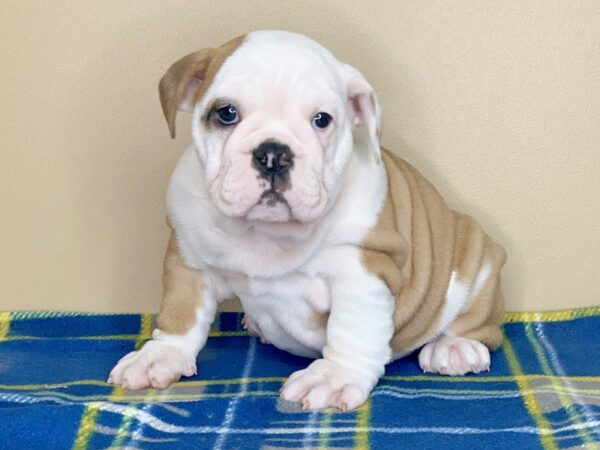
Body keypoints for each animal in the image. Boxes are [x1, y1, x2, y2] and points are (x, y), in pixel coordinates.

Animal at [108, 30, 506, 412]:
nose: (273, 154)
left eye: (322, 120)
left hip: (476, 256)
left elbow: (352, 331)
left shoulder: (363, 272)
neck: (265, 232)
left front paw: (333, 377)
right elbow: (181, 314)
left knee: (481, 323)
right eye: (226, 113)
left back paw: (456, 347)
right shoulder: (188, 258)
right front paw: (161, 356)